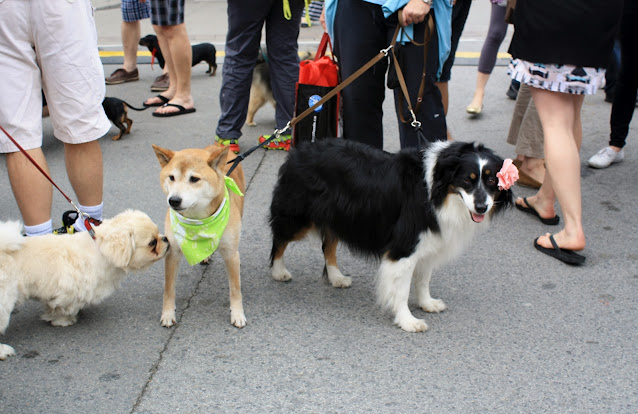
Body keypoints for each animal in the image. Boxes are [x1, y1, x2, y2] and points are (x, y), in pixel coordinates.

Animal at [0, 210, 170, 360]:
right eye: (152, 243)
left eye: (159, 234)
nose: (166, 239)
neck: (100, 250)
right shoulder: (69, 291)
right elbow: (63, 308)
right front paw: (64, 321)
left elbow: (51, 305)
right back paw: (4, 351)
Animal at [152, 144, 248, 328]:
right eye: (171, 177)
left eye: (194, 179)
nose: (174, 200)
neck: (198, 221)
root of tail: (219, 145)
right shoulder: (173, 252)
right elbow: (169, 289)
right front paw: (167, 313)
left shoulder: (230, 253)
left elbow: (235, 289)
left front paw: (238, 314)